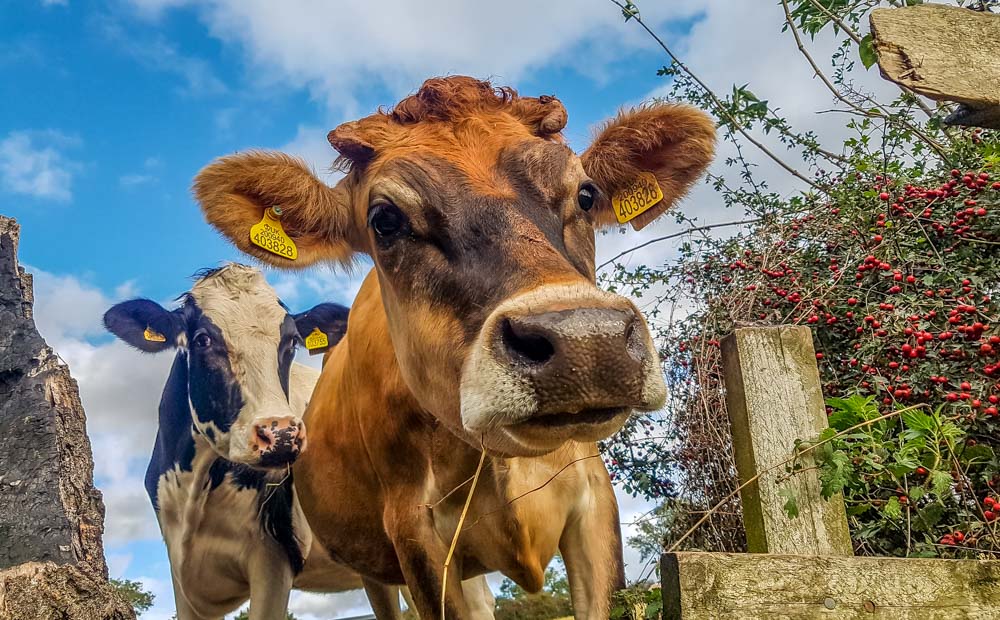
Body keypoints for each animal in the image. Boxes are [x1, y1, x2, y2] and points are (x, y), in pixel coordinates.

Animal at [103, 266, 380, 620]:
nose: (281, 434)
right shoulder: (182, 574)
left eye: (291, 342)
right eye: (203, 339)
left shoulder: (273, 558)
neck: (196, 497)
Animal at [193, 75, 712, 616]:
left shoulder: (594, 503)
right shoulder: (413, 533)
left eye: (587, 195)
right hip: (371, 564)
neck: (500, 458)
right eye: (384, 220)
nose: (585, 339)